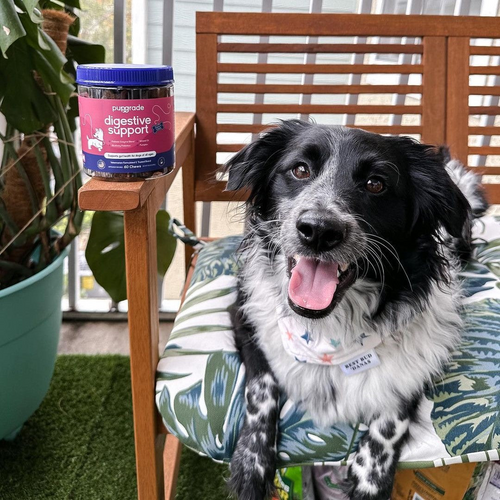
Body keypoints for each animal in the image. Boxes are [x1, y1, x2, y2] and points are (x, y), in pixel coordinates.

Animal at [224, 121, 488, 500]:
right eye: (300, 170)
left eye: (376, 184)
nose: (319, 230)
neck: (328, 332)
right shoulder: (245, 316)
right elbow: (261, 388)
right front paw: (251, 462)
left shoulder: (430, 350)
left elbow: (394, 411)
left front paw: (371, 475)